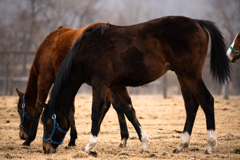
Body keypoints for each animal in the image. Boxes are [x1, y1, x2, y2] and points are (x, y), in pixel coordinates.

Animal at [40, 15, 231, 154]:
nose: (45, 149)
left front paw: (90, 145)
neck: (86, 49)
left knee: (207, 101)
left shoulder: (100, 83)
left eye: (48, 123)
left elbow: (95, 112)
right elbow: (129, 110)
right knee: (191, 105)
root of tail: (198, 22)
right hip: (182, 75)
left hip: (191, 75)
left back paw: (210, 145)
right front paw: (144, 143)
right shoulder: (115, 86)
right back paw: (181, 145)